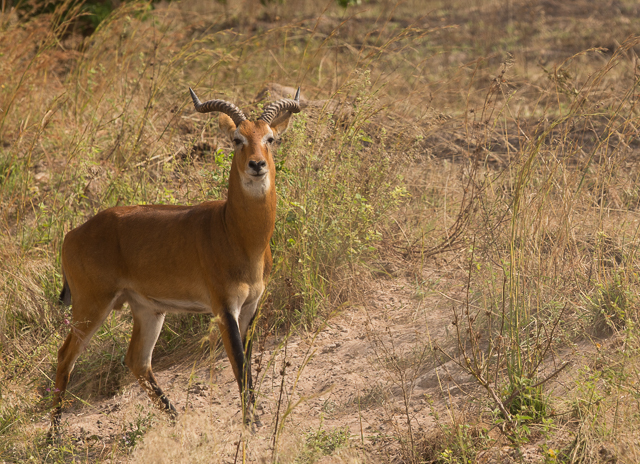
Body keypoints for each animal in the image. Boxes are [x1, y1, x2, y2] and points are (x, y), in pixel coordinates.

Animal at [47, 88, 302, 438]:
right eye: (237, 138)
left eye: (270, 138)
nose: (257, 165)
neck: (234, 232)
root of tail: (72, 234)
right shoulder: (224, 308)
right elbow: (238, 363)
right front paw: (252, 424)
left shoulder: (251, 305)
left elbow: (248, 362)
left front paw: (256, 420)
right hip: (91, 306)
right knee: (64, 356)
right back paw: (54, 435)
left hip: (147, 309)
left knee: (137, 361)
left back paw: (176, 418)